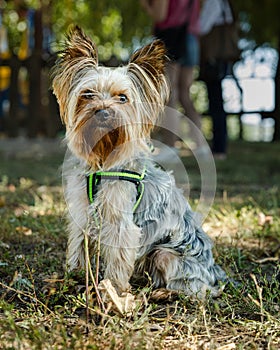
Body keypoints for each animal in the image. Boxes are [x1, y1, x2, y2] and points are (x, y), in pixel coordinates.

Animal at [52, 26, 226, 296]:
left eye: (122, 98)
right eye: (87, 94)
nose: (103, 112)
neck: (102, 163)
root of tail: (214, 272)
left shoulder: (122, 223)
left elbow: (118, 258)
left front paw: (112, 291)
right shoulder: (81, 211)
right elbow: (78, 244)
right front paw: (73, 276)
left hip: (166, 253)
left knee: (198, 290)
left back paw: (165, 292)